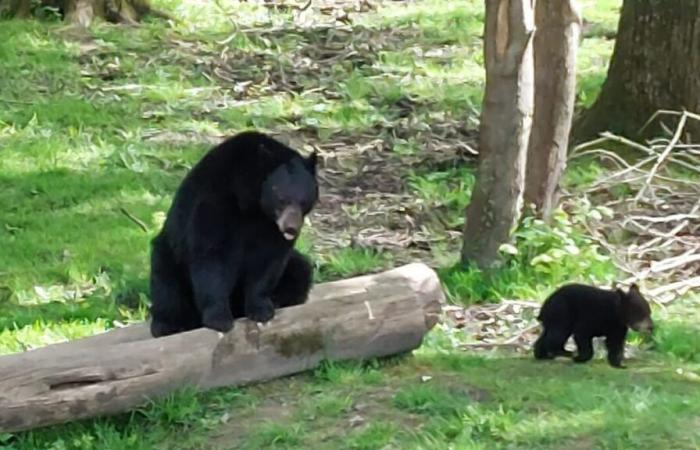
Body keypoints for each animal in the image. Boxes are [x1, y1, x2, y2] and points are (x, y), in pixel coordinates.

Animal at [152, 130, 322, 338]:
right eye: (282, 199)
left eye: (304, 201)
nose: (291, 228)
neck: (252, 205)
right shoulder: (214, 202)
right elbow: (212, 257)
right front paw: (219, 318)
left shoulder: (269, 228)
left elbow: (268, 261)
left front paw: (261, 309)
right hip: (169, 254)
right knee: (166, 286)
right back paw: (169, 325)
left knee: (301, 268)